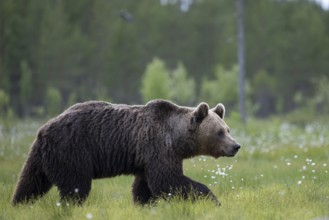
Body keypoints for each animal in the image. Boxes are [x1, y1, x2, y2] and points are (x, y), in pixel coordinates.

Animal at [11, 99, 240, 206]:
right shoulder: (157, 147)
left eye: (228, 129)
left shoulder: (146, 158)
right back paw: (71, 205)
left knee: (30, 182)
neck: (177, 139)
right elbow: (168, 180)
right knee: (75, 186)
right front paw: (212, 199)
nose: (236, 146)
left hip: (42, 157)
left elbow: (145, 185)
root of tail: (43, 128)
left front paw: (144, 204)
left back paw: (18, 204)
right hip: (72, 151)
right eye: (220, 132)